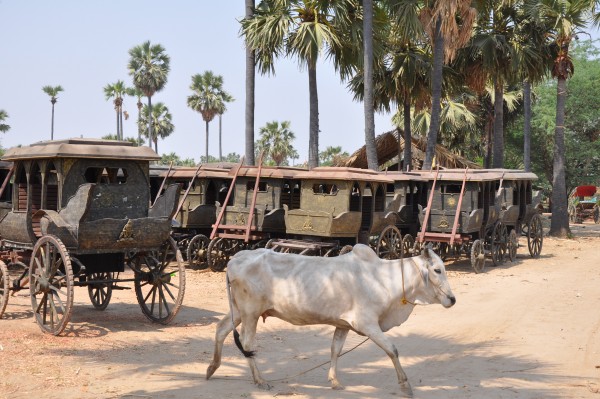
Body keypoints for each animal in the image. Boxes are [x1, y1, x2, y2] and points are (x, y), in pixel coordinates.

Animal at [206, 244, 454, 396]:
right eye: (437, 270)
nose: (452, 299)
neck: (383, 278)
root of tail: (235, 259)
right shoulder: (367, 324)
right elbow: (392, 349)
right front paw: (405, 385)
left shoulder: (343, 325)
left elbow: (335, 350)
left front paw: (334, 381)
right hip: (251, 313)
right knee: (247, 344)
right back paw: (259, 380)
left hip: (239, 311)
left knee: (221, 329)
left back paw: (212, 368)